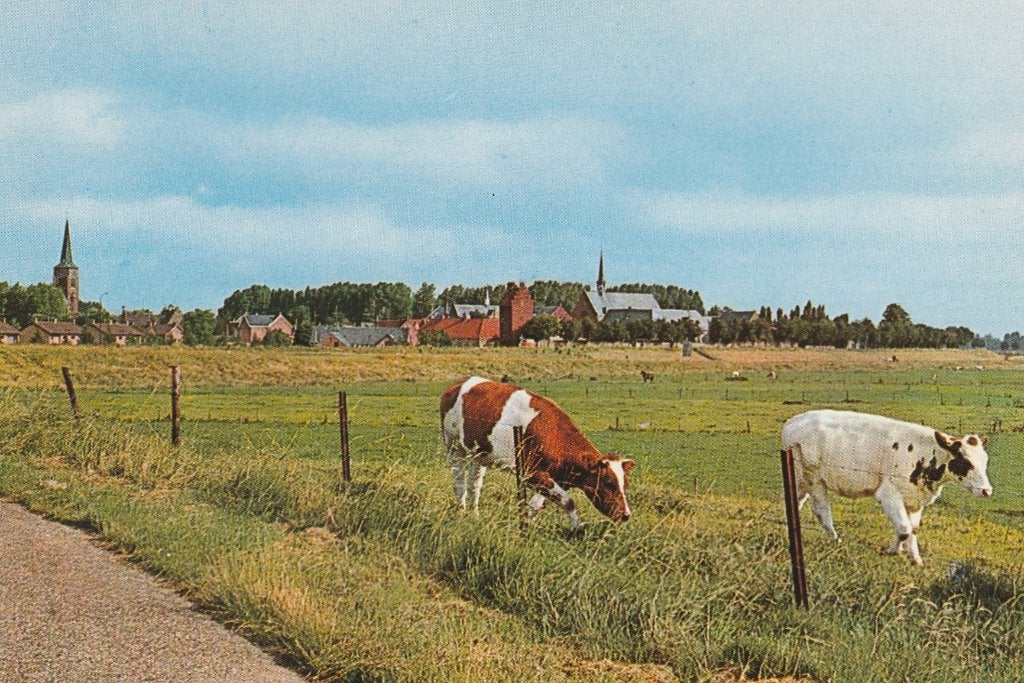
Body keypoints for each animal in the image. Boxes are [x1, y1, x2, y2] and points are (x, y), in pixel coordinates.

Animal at [440, 376, 634, 530]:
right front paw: (577, 529)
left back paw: (474, 516)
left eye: (625, 483)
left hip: (479, 455)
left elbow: (536, 505)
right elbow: (568, 502)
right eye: (608, 483)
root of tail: (458, 384)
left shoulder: (554, 478)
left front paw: (526, 526)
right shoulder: (530, 473)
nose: (626, 514)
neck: (554, 435)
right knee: (459, 482)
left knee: (475, 485)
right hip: (454, 447)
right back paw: (461, 512)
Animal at [782, 409, 993, 565]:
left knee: (796, 502)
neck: (924, 455)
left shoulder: (915, 499)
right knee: (822, 511)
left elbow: (912, 529)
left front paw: (914, 558)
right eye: (966, 462)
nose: (987, 490)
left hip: (800, 480)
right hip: (814, 480)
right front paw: (893, 550)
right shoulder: (889, 494)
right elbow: (904, 528)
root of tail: (793, 422)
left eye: (985, 461)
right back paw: (835, 540)